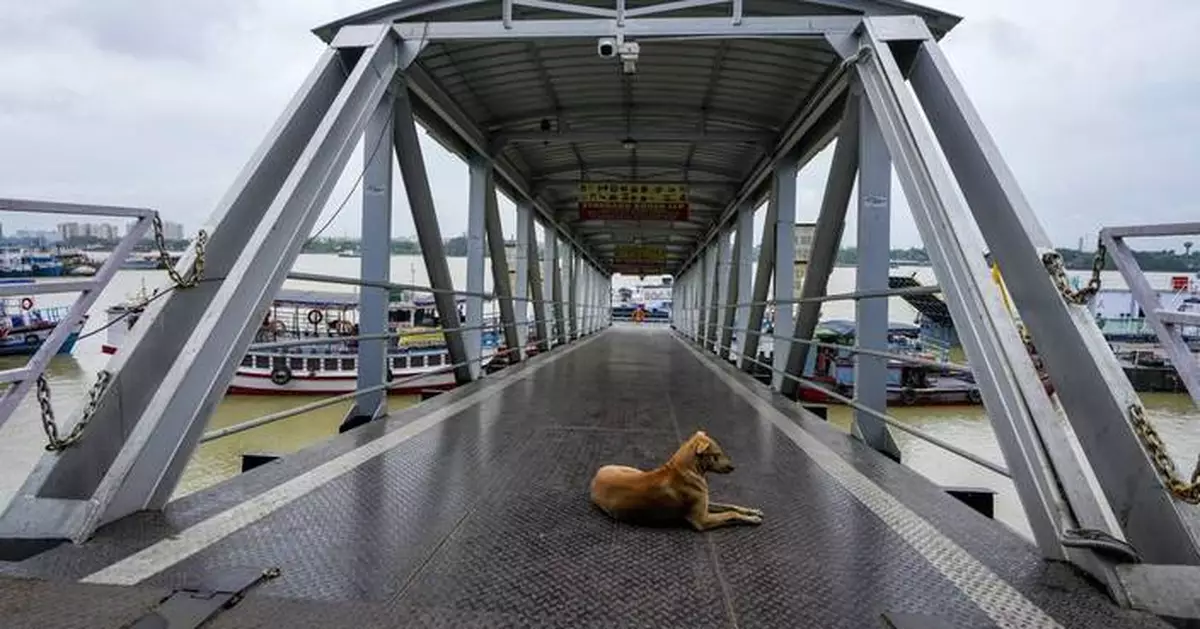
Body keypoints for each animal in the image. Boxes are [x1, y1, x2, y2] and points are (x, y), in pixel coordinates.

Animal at [588, 429, 758, 528]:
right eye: (716, 455)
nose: (733, 467)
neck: (686, 470)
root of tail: (595, 478)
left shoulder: (706, 504)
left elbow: (730, 506)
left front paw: (753, 511)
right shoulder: (701, 520)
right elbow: (730, 514)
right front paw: (752, 519)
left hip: (633, 470)